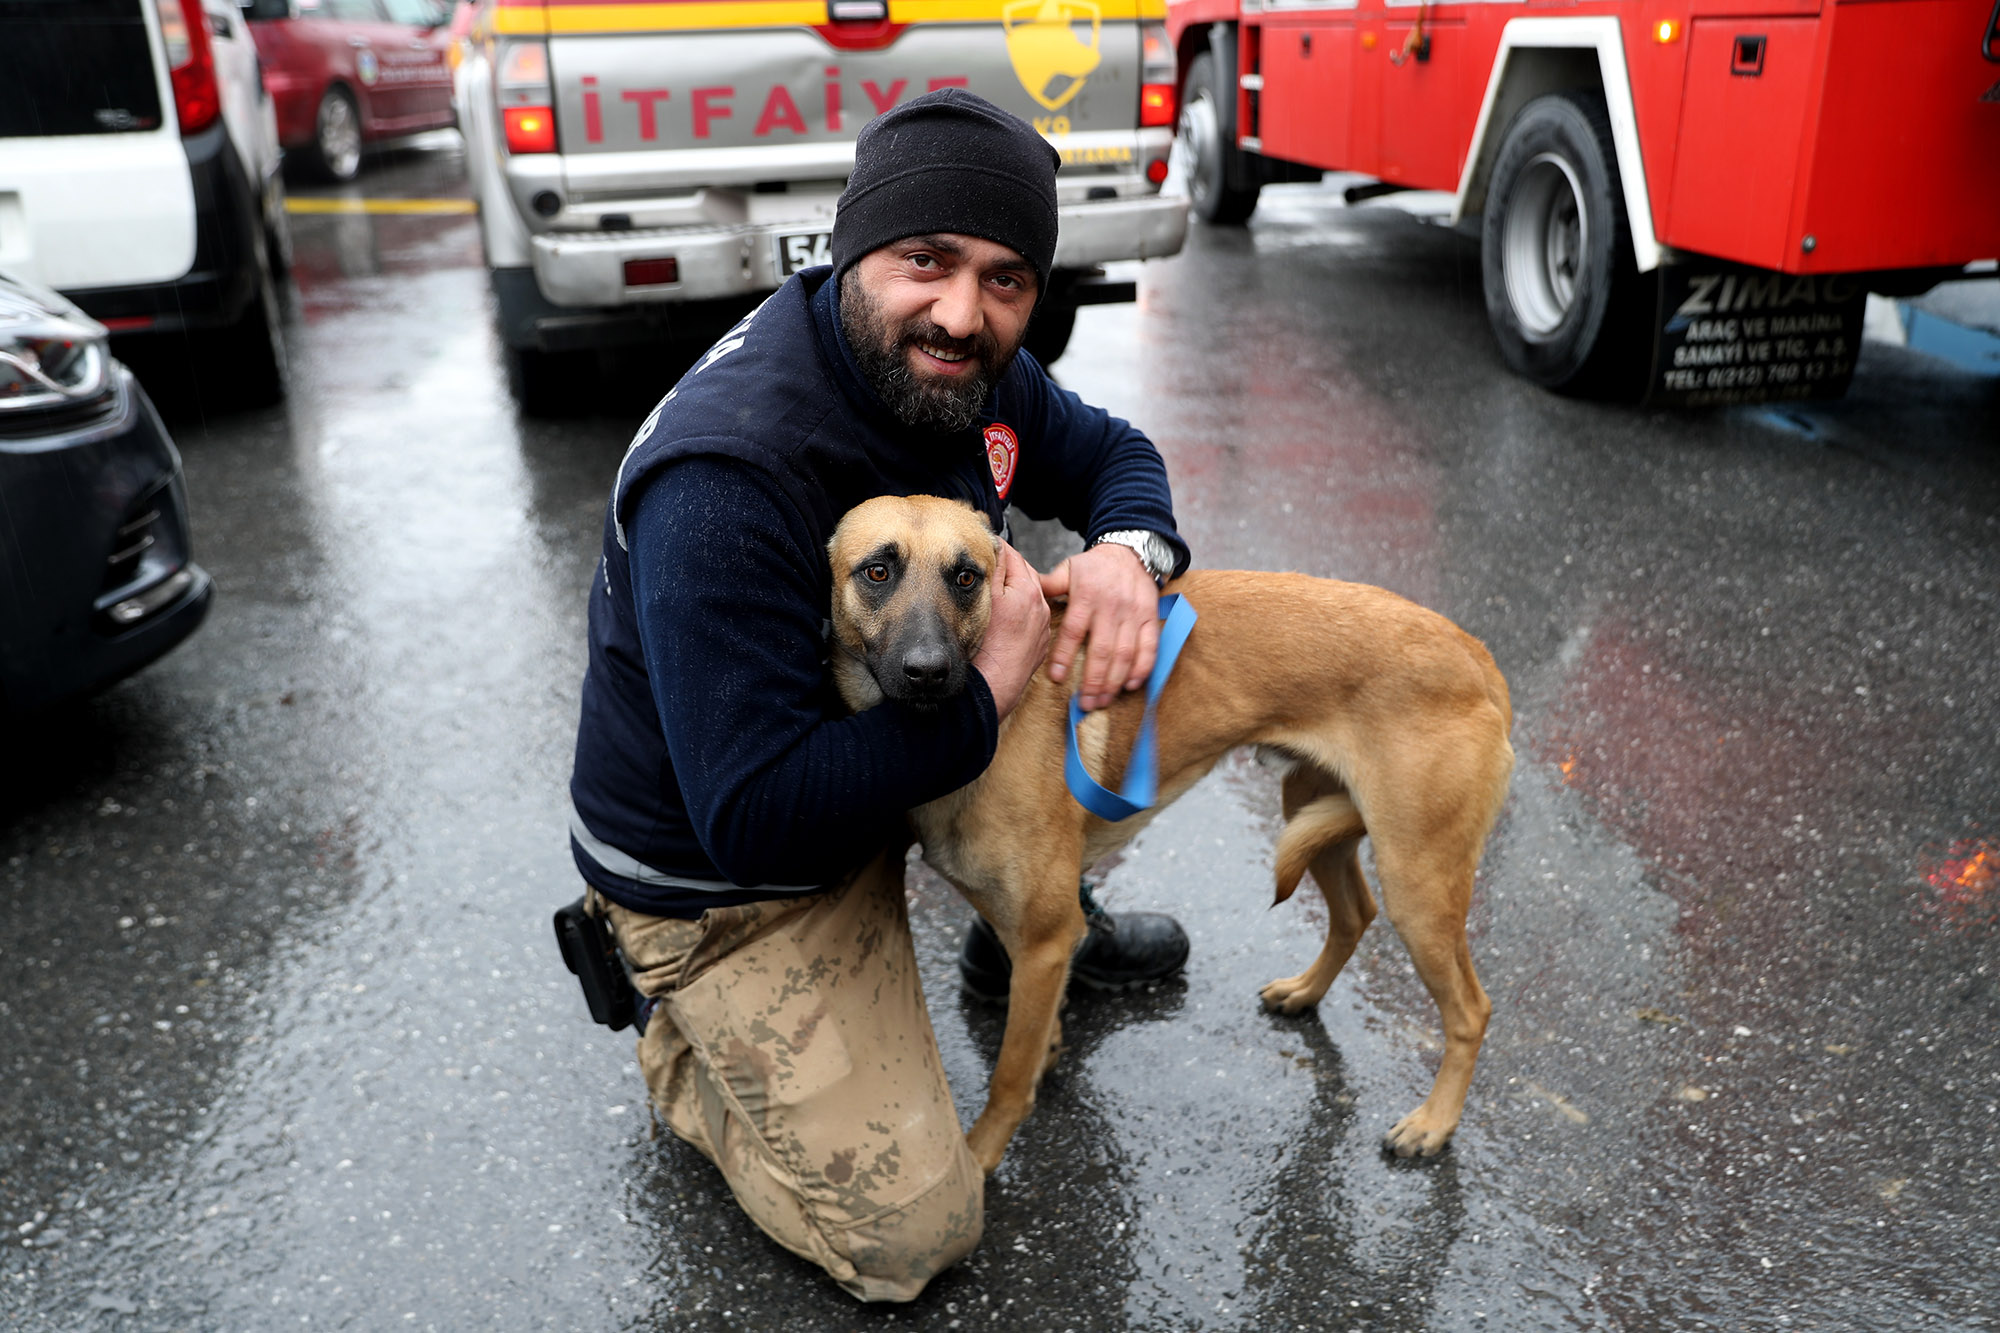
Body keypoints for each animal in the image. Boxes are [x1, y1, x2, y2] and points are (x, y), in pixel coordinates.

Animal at [828, 492, 1512, 1168]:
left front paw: (981, 1157)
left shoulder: (1046, 938)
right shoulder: (1031, 939)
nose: (927, 671)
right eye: (877, 572)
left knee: (1471, 1009)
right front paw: (1049, 1048)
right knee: (1354, 915)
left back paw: (1432, 1123)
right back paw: (1305, 992)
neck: (995, 716)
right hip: (1315, 820)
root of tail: (1476, 655)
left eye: (966, 577)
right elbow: (1035, 1029)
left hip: (1417, 882)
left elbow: (1009, 1077)